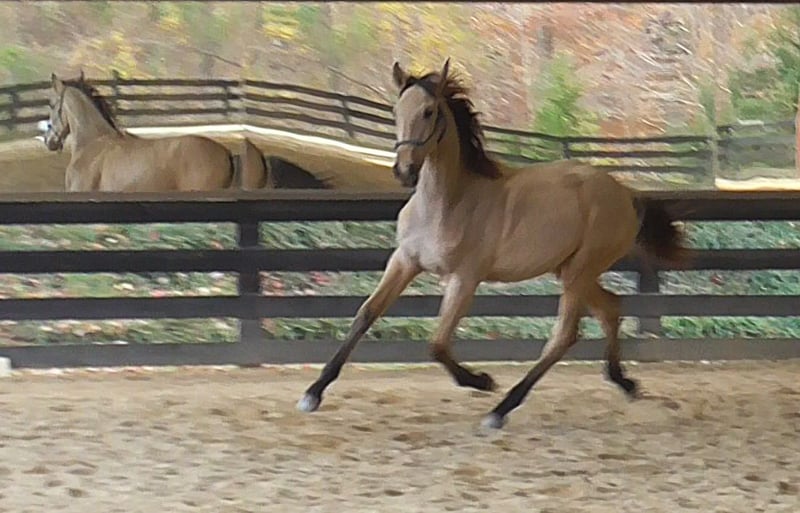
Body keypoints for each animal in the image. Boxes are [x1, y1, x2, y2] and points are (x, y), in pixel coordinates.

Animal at [296, 58, 689, 430]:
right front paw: (312, 394)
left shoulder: (464, 278)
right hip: (571, 270)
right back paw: (624, 382)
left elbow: (438, 344)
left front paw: (482, 381)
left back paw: (500, 410)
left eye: (429, 111)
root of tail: (626, 193)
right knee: (610, 307)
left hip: (580, 271)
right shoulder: (405, 261)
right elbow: (366, 314)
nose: (404, 171)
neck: (447, 203)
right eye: (396, 112)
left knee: (564, 335)